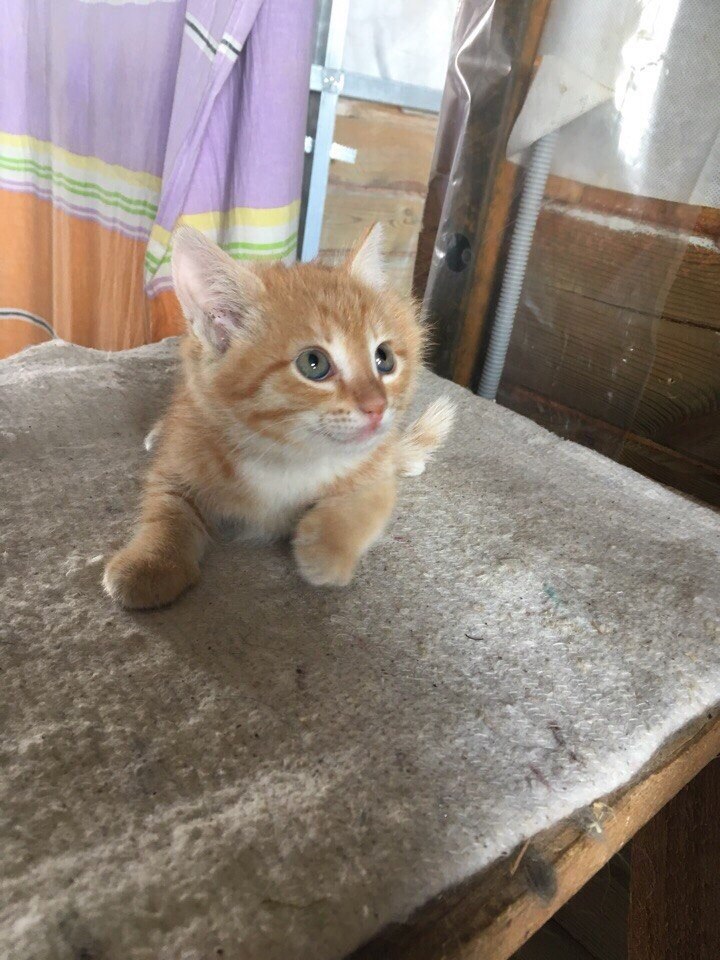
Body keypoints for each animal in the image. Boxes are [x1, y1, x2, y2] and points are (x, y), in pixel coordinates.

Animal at [103, 223, 454, 609]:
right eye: (313, 364)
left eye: (385, 358)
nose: (377, 406)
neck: (287, 456)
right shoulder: (181, 456)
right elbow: (166, 510)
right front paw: (151, 563)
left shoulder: (374, 468)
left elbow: (368, 501)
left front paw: (327, 549)